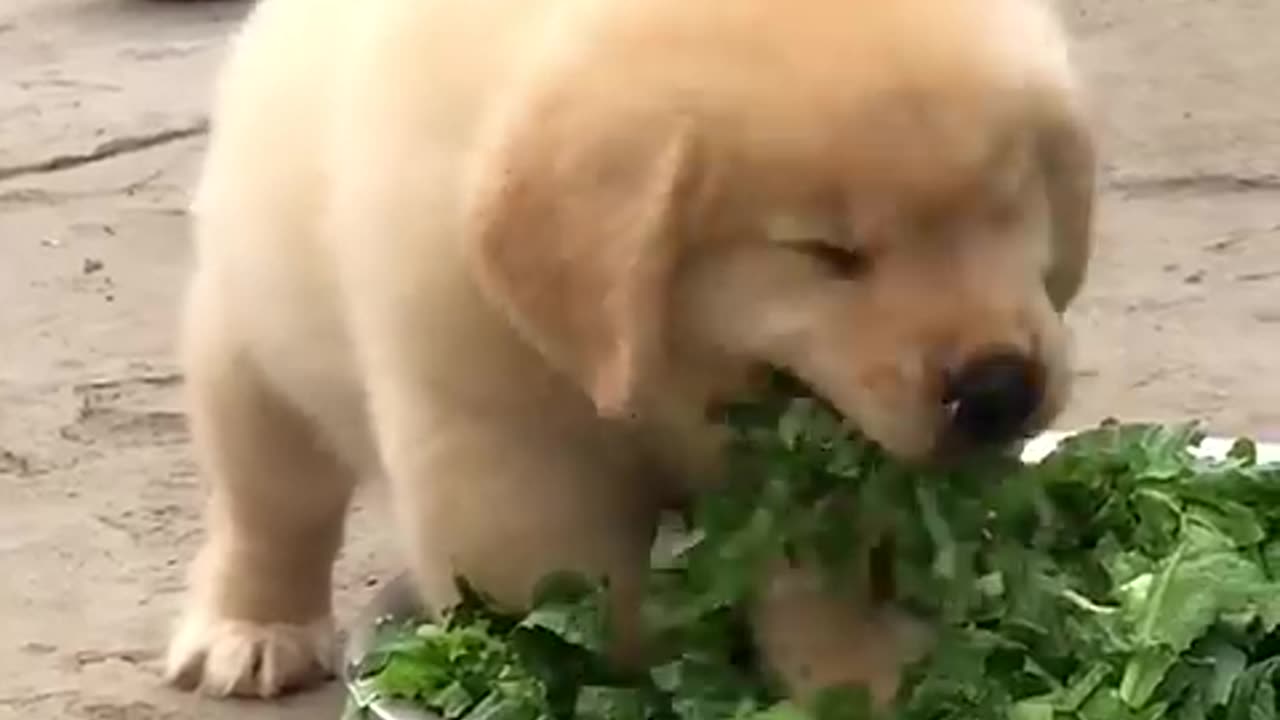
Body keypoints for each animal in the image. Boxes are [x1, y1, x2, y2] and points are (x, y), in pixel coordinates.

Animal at [165, 0, 1095, 702]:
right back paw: (254, 630)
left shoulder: (812, 460)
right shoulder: (499, 444)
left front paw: (863, 675)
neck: (669, 378)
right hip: (248, 347)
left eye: (1009, 205)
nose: (1000, 389)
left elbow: (825, 571)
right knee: (271, 506)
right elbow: (580, 593)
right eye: (827, 253)